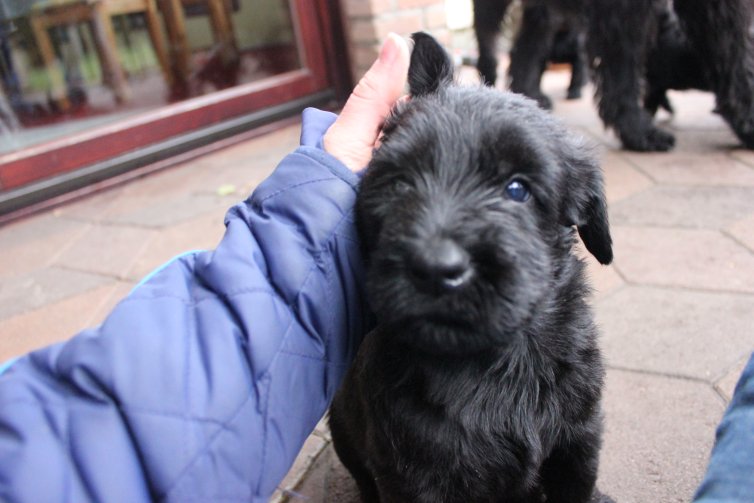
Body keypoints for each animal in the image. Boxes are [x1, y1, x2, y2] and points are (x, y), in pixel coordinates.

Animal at [328, 32, 612, 503]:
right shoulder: (411, 475)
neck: (496, 359)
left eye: (517, 189)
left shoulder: (578, 442)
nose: (434, 269)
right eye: (399, 183)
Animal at [472, 0, 752, 152]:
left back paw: (528, 97)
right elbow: (623, 65)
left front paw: (746, 119)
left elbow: (732, 45)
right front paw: (636, 131)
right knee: (488, 39)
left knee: (526, 47)